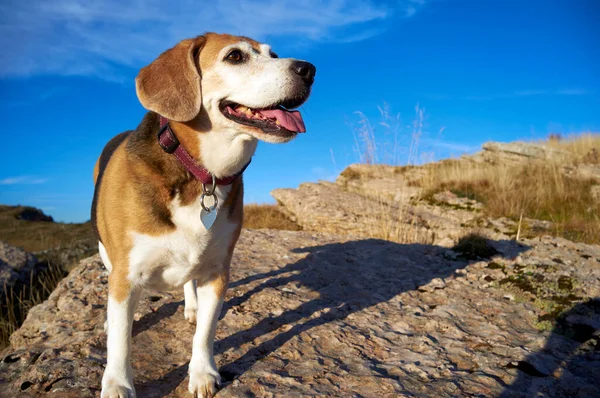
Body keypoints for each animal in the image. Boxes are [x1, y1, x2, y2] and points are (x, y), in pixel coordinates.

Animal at [91, 32, 316, 396]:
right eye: (235, 56)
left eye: (274, 54)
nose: (309, 70)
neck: (200, 174)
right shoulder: (126, 275)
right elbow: (121, 342)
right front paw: (118, 383)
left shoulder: (217, 271)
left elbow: (206, 333)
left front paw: (202, 372)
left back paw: (192, 305)